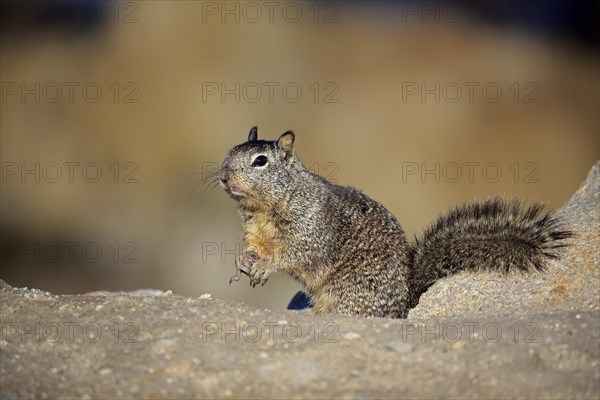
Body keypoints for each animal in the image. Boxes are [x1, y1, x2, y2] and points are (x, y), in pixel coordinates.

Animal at [219, 126, 572, 318]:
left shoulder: (312, 228)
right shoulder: (255, 232)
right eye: (230, 151)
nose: (223, 177)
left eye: (260, 161)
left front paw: (265, 267)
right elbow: (254, 248)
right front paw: (242, 261)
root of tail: (405, 304)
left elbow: (297, 254)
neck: (263, 209)